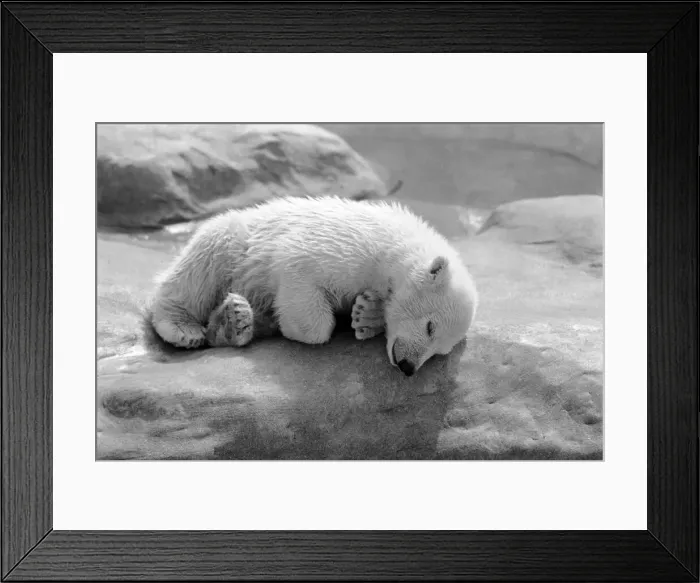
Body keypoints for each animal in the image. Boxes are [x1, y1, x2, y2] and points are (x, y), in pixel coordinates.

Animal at [149, 196, 478, 376]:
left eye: (440, 352)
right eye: (430, 327)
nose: (409, 367)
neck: (392, 249)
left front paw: (368, 314)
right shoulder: (347, 247)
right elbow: (299, 274)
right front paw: (298, 326)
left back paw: (235, 321)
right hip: (236, 242)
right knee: (201, 264)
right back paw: (185, 327)